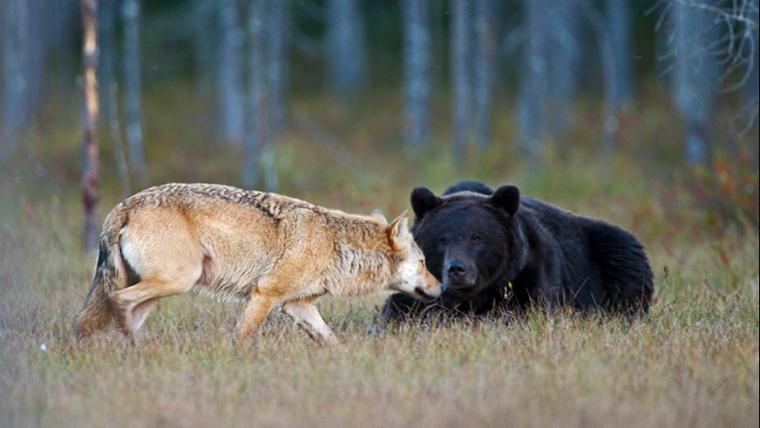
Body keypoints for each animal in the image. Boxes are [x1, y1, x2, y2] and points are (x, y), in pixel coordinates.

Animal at [74, 183, 442, 344]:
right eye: (424, 261)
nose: (442, 285)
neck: (336, 244)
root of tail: (123, 206)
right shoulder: (265, 294)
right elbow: (242, 336)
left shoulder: (297, 306)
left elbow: (331, 341)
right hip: (176, 281)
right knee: (117, 301)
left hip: (159, 292)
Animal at [382, 180, 656, 320]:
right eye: (442, 238)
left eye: (477, 237)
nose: (457, 269)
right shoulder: (417, 286)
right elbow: (399, 311)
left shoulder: (529, 278)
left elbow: (523, 313)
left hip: (610, 253)